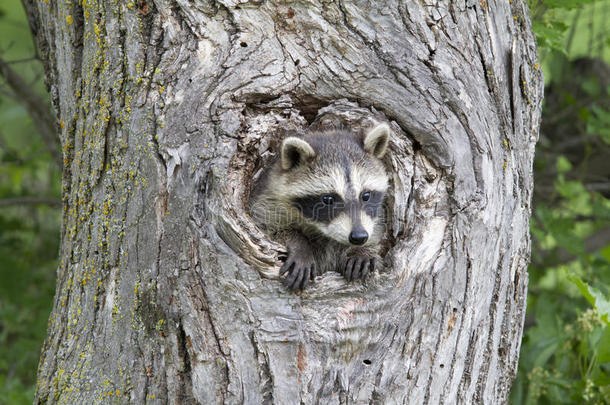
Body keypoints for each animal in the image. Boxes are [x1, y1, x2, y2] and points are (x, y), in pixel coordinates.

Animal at [251, 123, 390, 290]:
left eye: (366, 195)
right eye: (328, 199)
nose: (359, 237)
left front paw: (364, 250)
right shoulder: (269, 201)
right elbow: (267, 228)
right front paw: (299, 245)